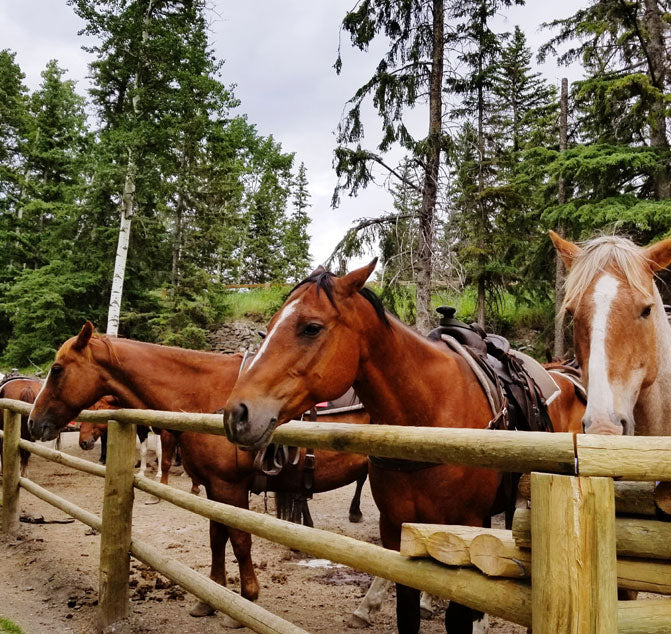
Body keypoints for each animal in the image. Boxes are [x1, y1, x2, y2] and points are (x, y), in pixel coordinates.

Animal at [26, 326, 369, 625]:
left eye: (57, 369)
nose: (32, 422)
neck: (206, 397)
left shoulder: (231, 488)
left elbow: (240, 541)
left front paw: (246, 599)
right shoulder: (214, 489)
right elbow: (217, 538)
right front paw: (210, 599)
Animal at [222, 262, 586, 634]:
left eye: (311, 327)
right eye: (268, 328)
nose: (238, 413)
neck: (428, 417)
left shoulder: (467, 522)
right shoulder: (396, 528)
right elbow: (407, 610)